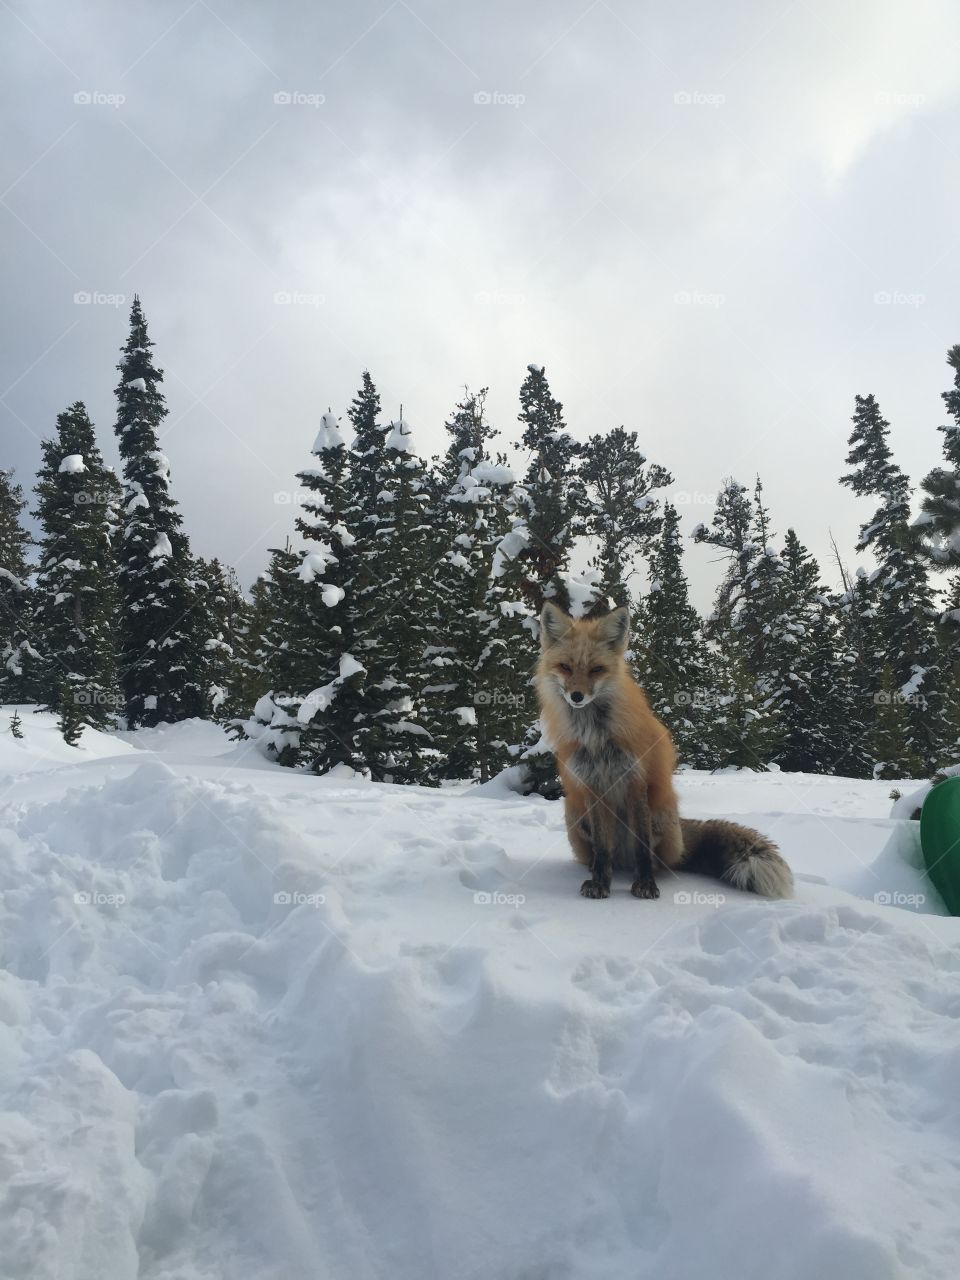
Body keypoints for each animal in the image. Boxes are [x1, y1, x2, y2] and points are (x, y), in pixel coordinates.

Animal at [536, 601, 793, 901]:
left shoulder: (637, 780)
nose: (576, 696)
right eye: (565, 667)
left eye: (596, 669)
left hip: (660, 812)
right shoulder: (591, 785)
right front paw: (600, 882)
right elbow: (602, 849)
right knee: (605, 853)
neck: (596, 736)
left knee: (655, 858)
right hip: (575, 813)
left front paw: (646, 884)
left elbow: (642, 845)